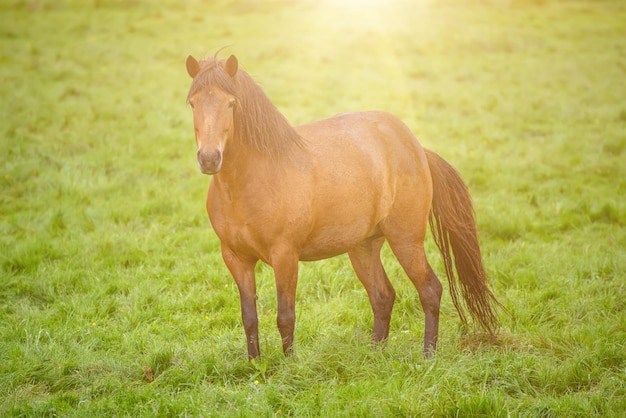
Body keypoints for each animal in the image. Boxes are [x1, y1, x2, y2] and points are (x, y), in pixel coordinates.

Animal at [183, 52, 500, 360]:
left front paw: (289, 366)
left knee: (430, 290)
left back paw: (428, 355)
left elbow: (285, 316)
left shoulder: (285, 256)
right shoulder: (236, 259)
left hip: (406, 240)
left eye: (231, 103)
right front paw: (255, 365)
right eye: (192, 103)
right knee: (383, 295)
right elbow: (249, 317)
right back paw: (374, 354)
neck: (252, 181)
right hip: (363, 246)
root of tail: (417, 148)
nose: (209, 158)